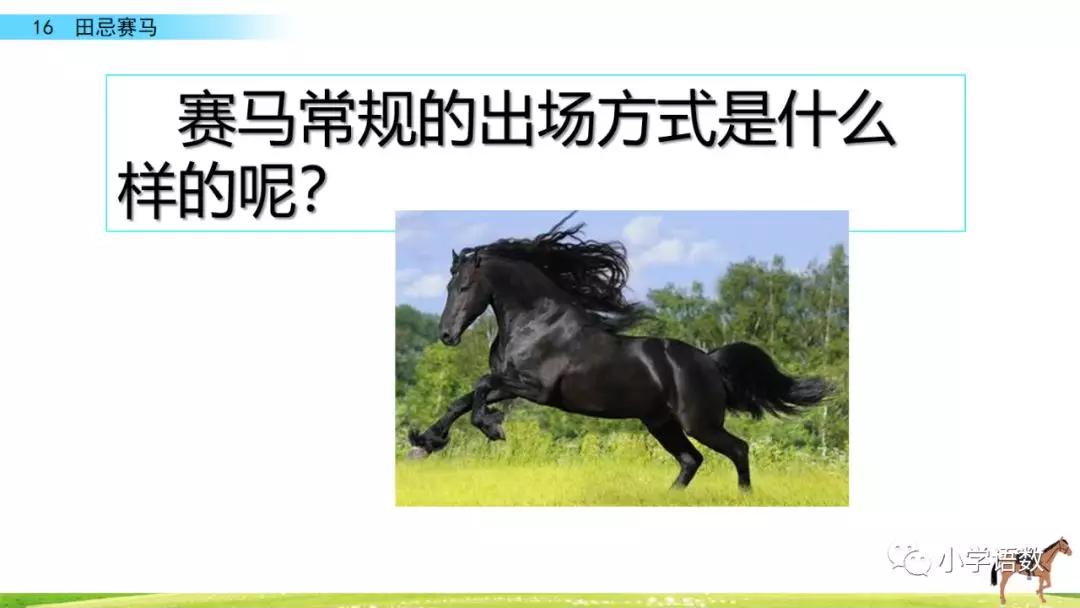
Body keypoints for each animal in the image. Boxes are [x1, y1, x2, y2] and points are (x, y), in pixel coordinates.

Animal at [406, 213, 832, 491]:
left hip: (699, 422)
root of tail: (709, 361)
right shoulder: (509, 383)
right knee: (691, 460)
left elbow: (478, 387)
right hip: (661, 423)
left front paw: (492, 427)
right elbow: (462, 399)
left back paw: (743, 496)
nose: (447, 335)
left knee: (737, 450)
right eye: (448, 287)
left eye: (464, 287)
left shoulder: (535, 388)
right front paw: (424, 443)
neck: (535, 322)